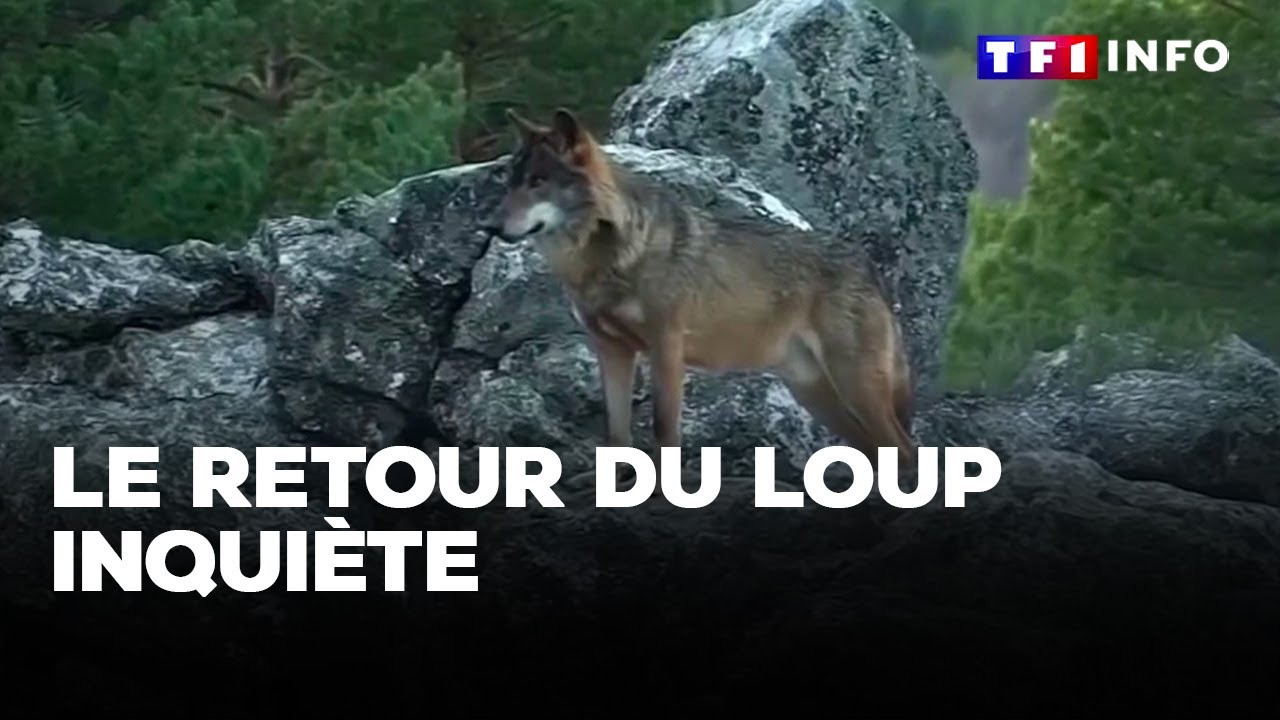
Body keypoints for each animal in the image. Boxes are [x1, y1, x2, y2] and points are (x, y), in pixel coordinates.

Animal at [483, 108, 917, 472]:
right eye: (510, 183)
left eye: (538, 182)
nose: (490, 226)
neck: (607, 259)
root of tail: (868, 265)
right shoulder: (611, 350)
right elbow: (617, 435)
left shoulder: (666, 348)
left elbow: (664, 431)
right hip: (817, 396)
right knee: (879, 452)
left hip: (855, 387)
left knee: (905, 450)